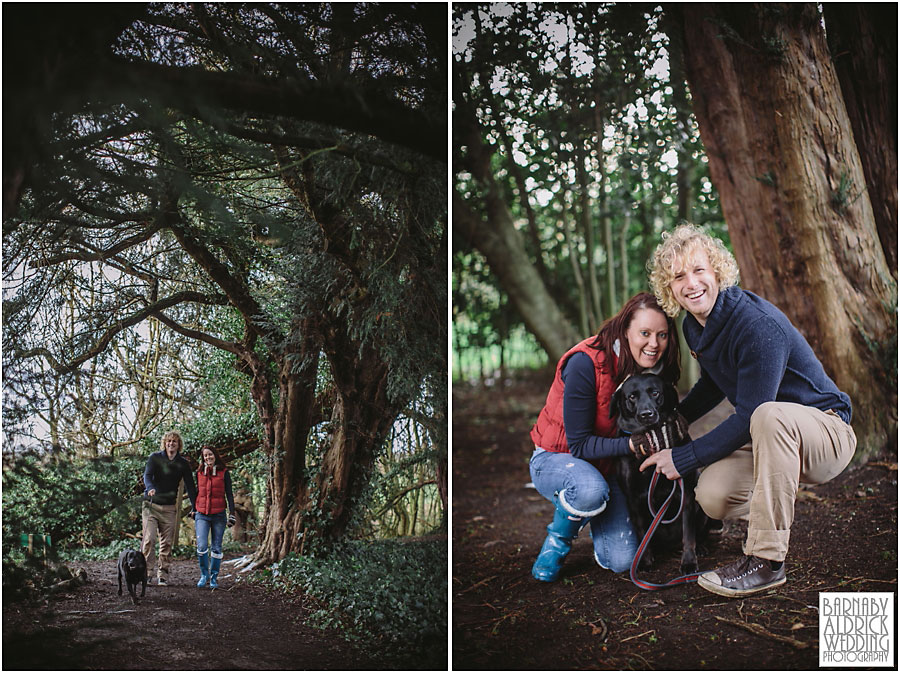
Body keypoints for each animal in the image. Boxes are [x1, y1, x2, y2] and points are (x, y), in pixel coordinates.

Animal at [612, 372, 712, 572]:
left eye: (655, 392)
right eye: (632, 397)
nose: (646, 414)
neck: (653, 445)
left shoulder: (686, 494)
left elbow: (688, 534)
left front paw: (689, 562)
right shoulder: (632, 499)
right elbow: (641, 533)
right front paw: (644, 561)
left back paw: (701, 547)